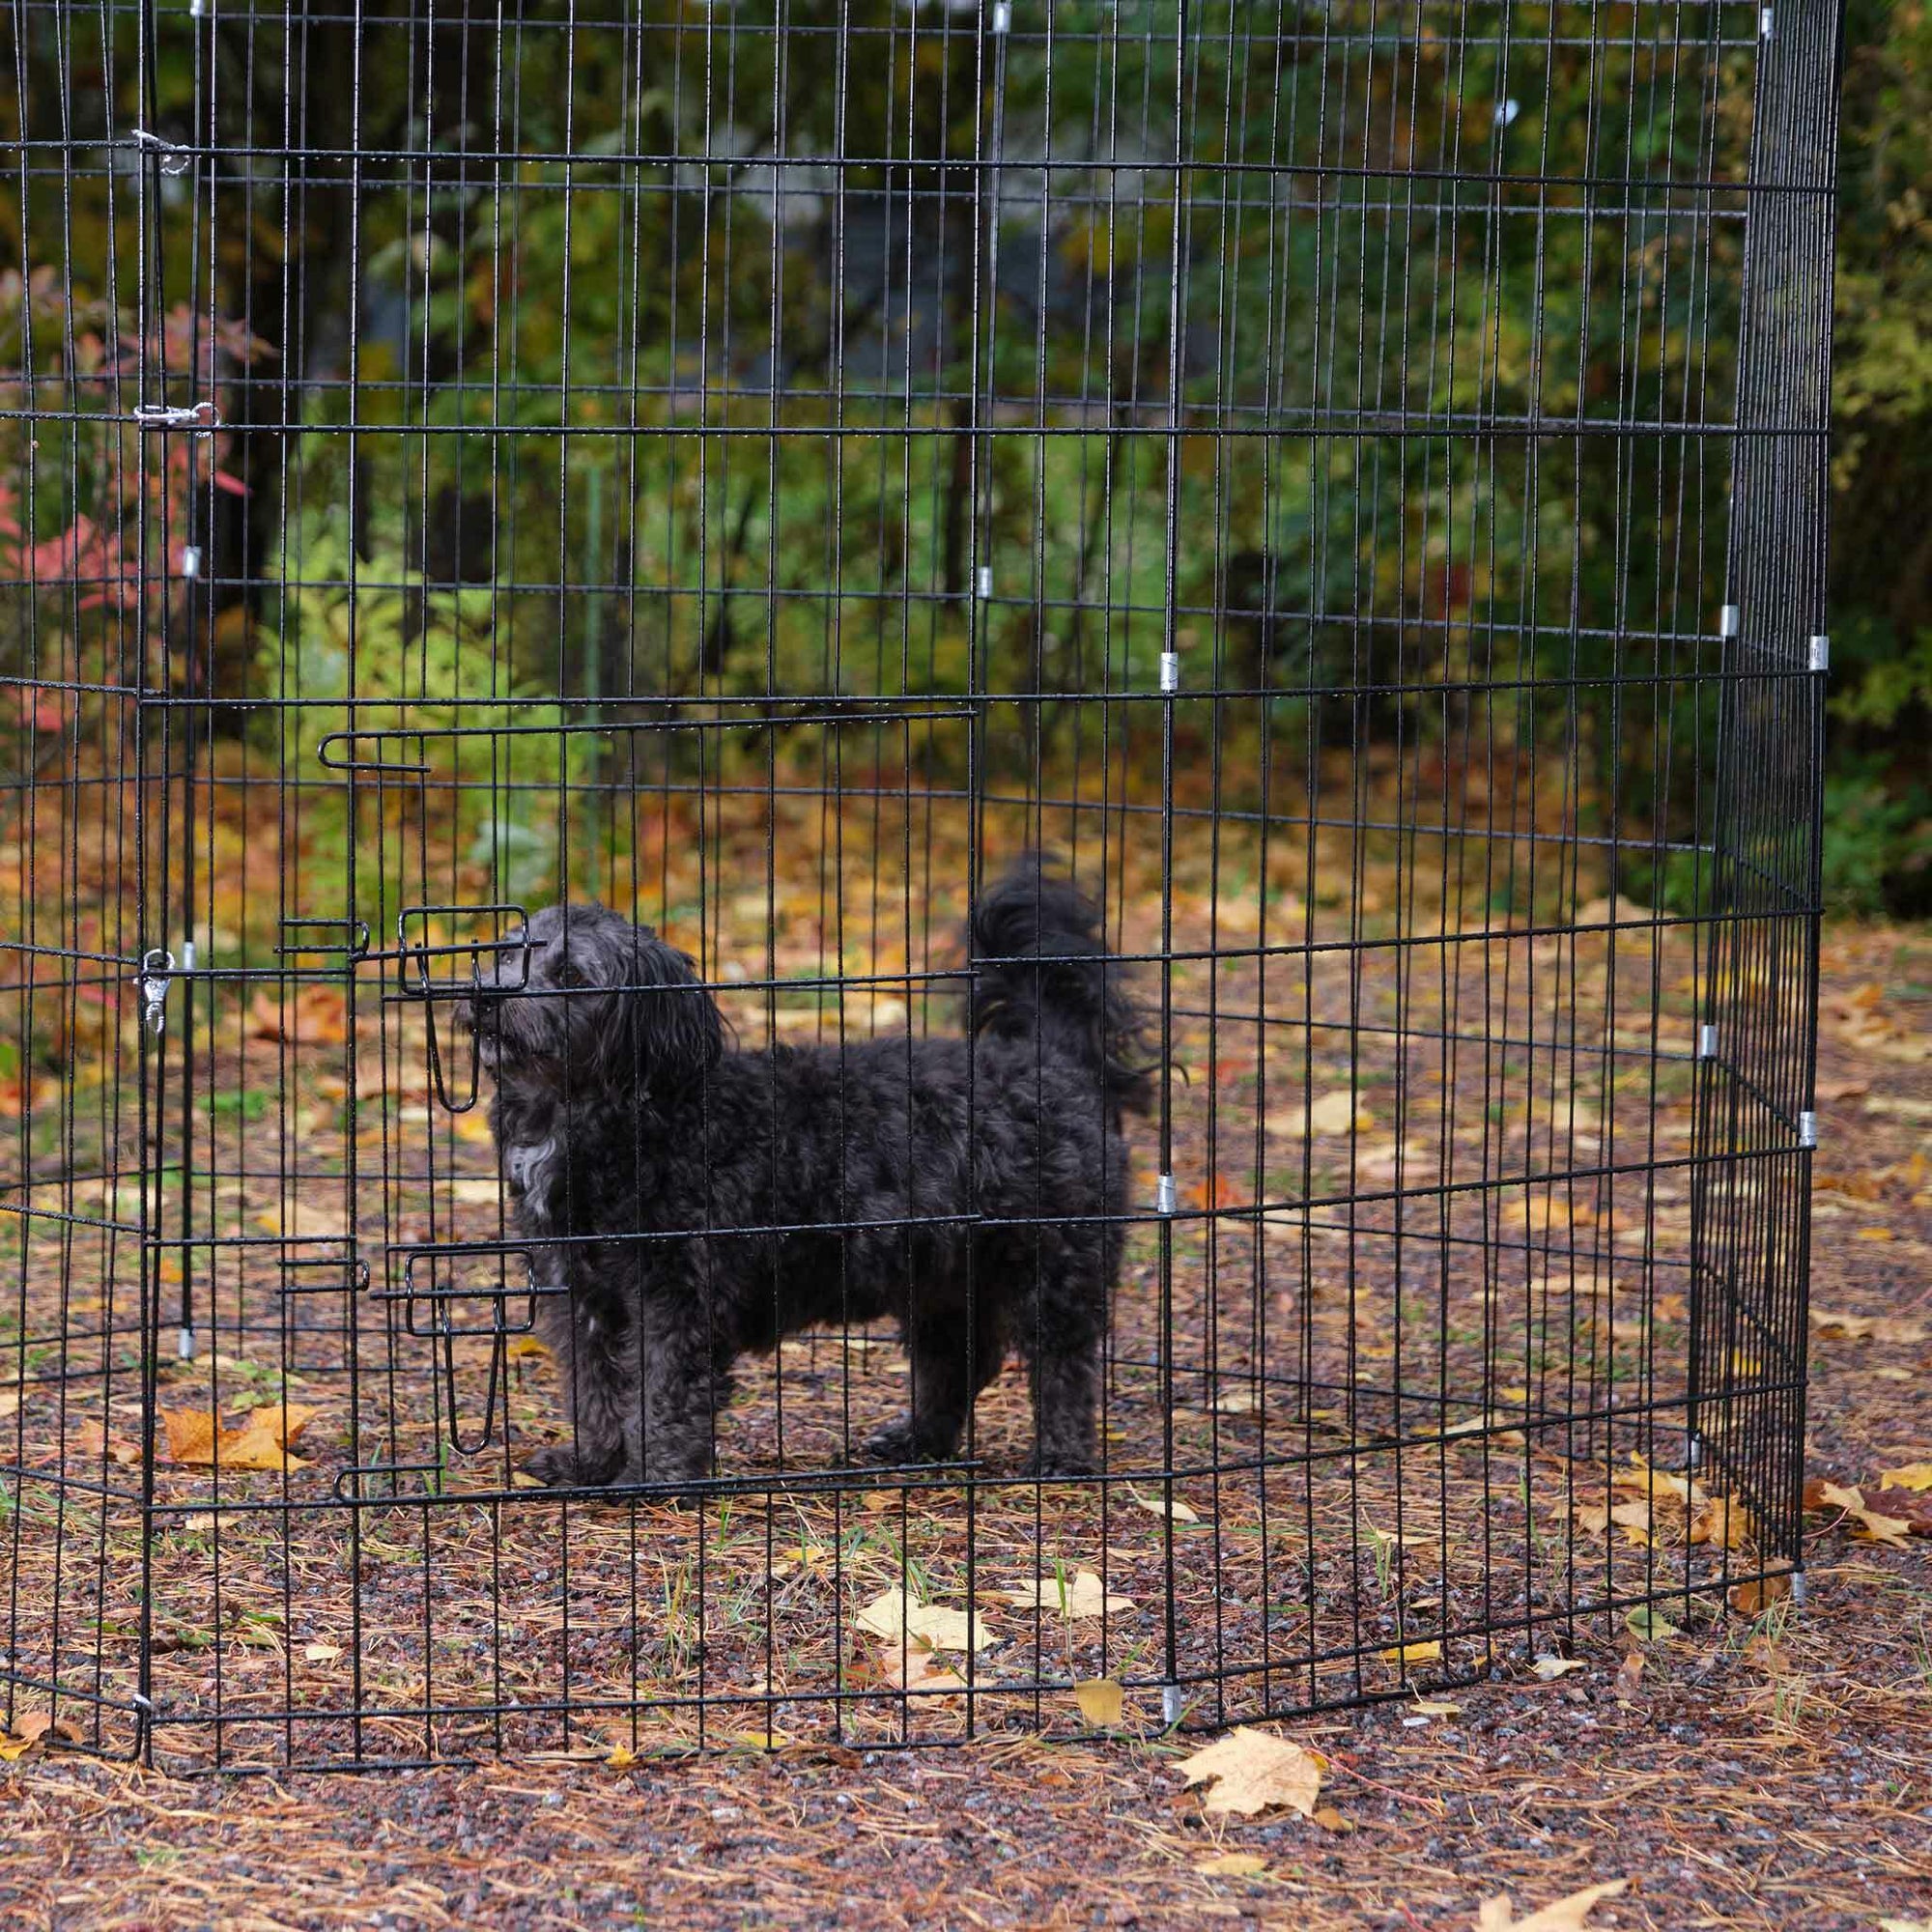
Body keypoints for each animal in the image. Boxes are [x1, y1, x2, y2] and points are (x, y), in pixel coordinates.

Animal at [460, 866, 1144, 1492]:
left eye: (572, 977)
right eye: (507, 954)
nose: (483, 995)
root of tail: (1048, 1059)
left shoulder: (678, 1291)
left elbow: (665, 1389)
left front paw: (656, 1474)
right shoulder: (581, 1292)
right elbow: (595, 1386)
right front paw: (593, 1462)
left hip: (1052, 1267)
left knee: (1064, 1367)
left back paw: (1061, 1458)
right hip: (943, 1277)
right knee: (958, 1360)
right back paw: (917, 1442)